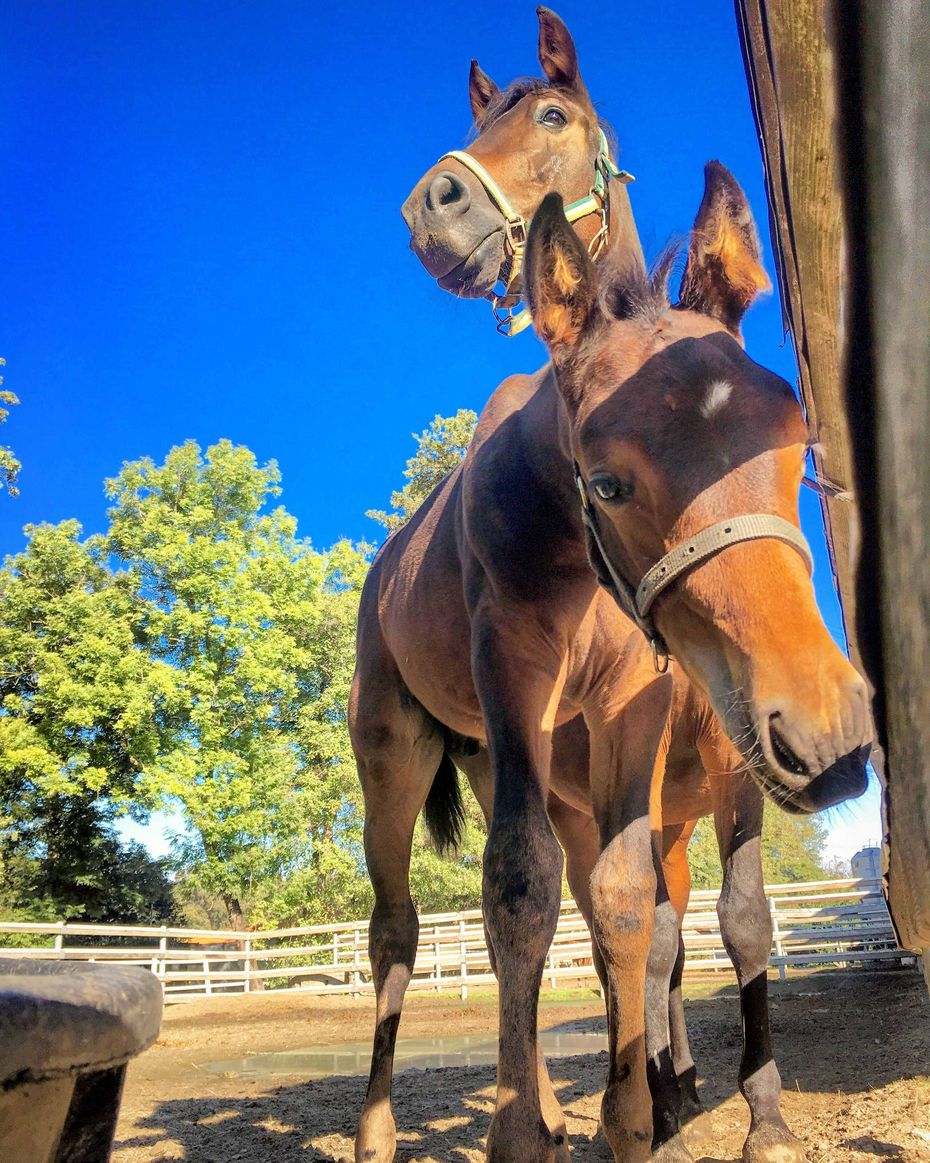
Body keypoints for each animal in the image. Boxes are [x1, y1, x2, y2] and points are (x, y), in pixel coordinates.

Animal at [352, 157, 870, 1163]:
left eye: (797, 450)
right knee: (396, 931)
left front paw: (641, 1118)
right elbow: (520, 889)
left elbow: (635, 908)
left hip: (504, 762)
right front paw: (520, 1134)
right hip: (394, 752)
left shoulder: (639, 705)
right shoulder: (513, 666)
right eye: (607, 481)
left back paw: (571, 1107)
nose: (829, 730)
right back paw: (379, 1128)